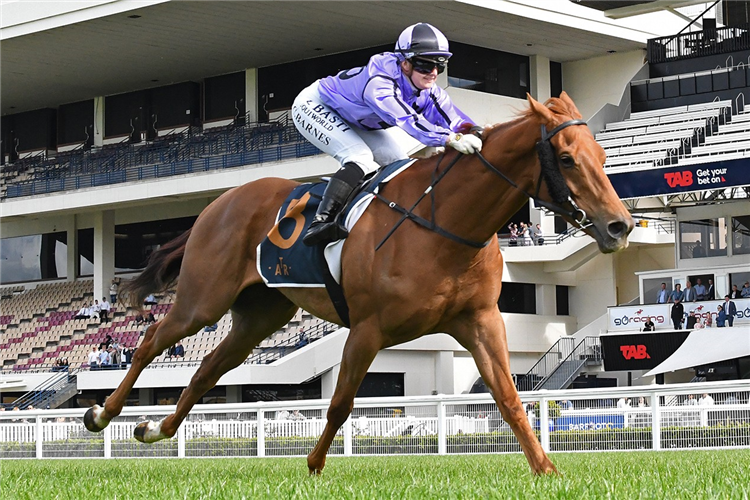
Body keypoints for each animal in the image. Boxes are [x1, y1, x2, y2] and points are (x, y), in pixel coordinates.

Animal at [83, 92, 636, 474]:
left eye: (604, 156)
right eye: (566, 158)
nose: (620, 226)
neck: (444, 224)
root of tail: (217, 203)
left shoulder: (478, 320)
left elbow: (510, 398)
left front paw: (546, 469)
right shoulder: (368, 328)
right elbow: (340, 403)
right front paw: (312, 467)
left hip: (258, 317)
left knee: (205, 371)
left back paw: (154, 428)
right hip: (203, 300)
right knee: (150, 342)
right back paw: (103, 414)